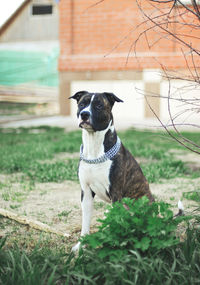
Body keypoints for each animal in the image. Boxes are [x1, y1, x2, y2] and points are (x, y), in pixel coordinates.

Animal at [70, 91, 155, 251]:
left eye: (98, 105)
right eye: (82, 104)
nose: (84, 114)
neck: (94, 148)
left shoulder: (115, 192)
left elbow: (117, 221)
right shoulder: (86, 192)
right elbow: (85, 224)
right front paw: (80, 246)